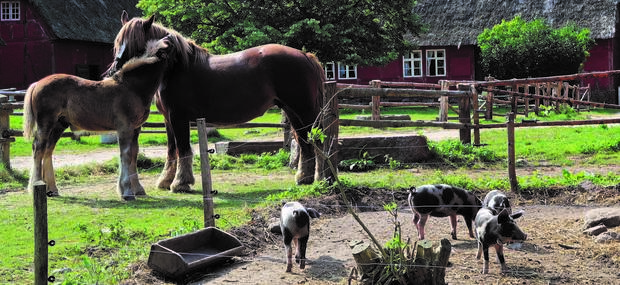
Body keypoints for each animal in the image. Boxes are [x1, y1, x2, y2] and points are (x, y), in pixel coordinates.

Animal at [23, 35, 174, 200]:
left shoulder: (136, 129)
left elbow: (134, 155)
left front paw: (138, 189)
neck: (132, 88)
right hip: (46, 123)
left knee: (48, 150)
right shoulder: (125, 128)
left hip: (59, 125)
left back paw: (52, 189)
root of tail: (37, 84)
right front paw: (127, 192)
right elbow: (126, 155)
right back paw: (36, 185)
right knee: (38, 148)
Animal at [107, 11, 326, 193]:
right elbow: (171, 151)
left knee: (318, 140)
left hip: (304, 110)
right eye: (118, 43)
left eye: (136, 45)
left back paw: (322, 179)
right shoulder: (168, 120)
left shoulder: (179, 118)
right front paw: (165, 181)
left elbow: (183, 149)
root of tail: (305, 55)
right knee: (304, 141)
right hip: (293, 111)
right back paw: (304, 178)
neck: (175, 69)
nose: (114, 71)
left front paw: (181, 183)